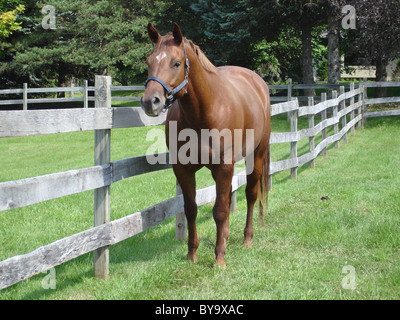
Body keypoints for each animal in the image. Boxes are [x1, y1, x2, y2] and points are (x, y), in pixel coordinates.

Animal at [141, 23, 272, 268]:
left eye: (176, 63)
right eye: (149, 61)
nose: (150, 101)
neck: (205, 111)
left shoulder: (224, 167)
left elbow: (219, 211)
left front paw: (219, 259)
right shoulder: (183, 169)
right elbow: (191, 209)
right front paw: (192, 254)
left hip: (256, 156)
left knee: (250, 194)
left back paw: (246, 238)